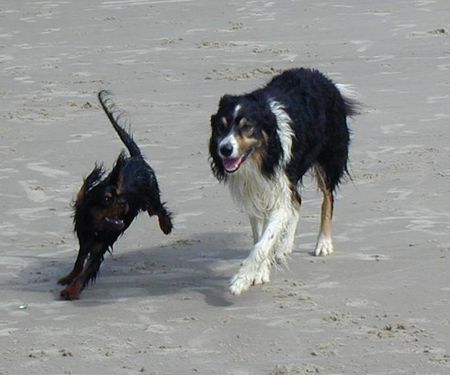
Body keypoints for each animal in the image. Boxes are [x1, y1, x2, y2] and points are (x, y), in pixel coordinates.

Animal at [59, 90, 171, 300]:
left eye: (120, 196)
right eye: (107, 199)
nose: (125, 204)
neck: (95, 226)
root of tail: (136, 157)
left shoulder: (99, 248)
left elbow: (86, 271)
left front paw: (71, 290)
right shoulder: (84, 241)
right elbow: (79, 262)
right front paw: (69, 277)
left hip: (151, 196)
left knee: (159, 210)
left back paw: (166, 226)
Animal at [208, 67, 358, 296]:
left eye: (247, 127)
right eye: (220, 127)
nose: (224, 149)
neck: (262, 156)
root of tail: (324, 79)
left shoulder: (277, 190)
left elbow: (263, 242)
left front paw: (242, 280)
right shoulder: (256, 190)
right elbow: (260, 236)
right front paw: (260, 271)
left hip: (328, 159)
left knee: (327, 199)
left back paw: (323, 243)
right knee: (297, 201)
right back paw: (285, 246)